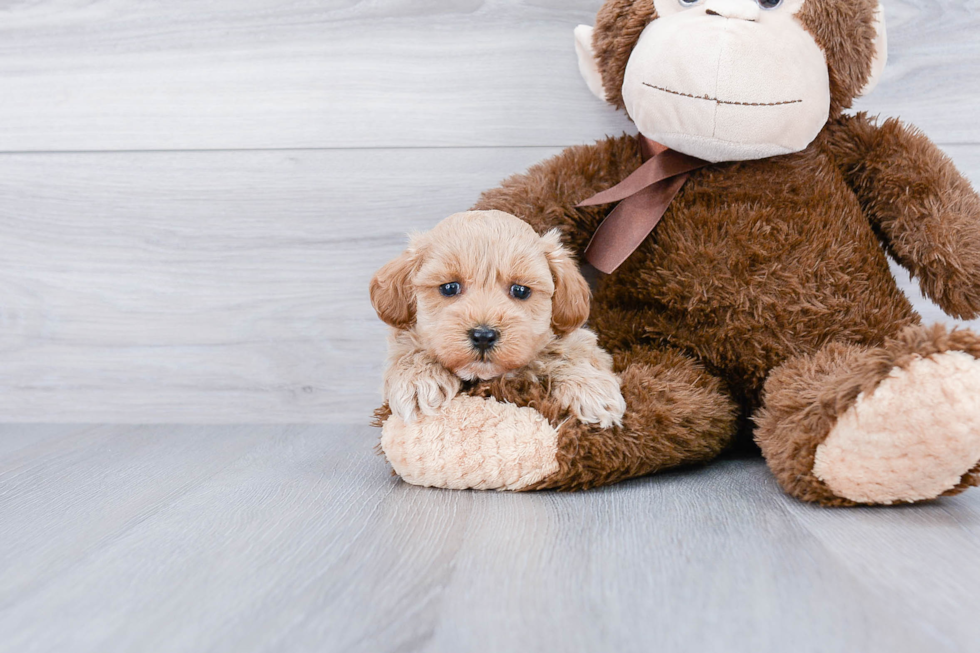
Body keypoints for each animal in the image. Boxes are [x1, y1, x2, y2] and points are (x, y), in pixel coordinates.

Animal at [372, 209, 624, 430]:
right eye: (449, 287)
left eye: (520, 290)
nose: (483, 336)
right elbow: (409, 347)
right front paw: (419, 382)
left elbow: (575, 353)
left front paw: (592, 391)